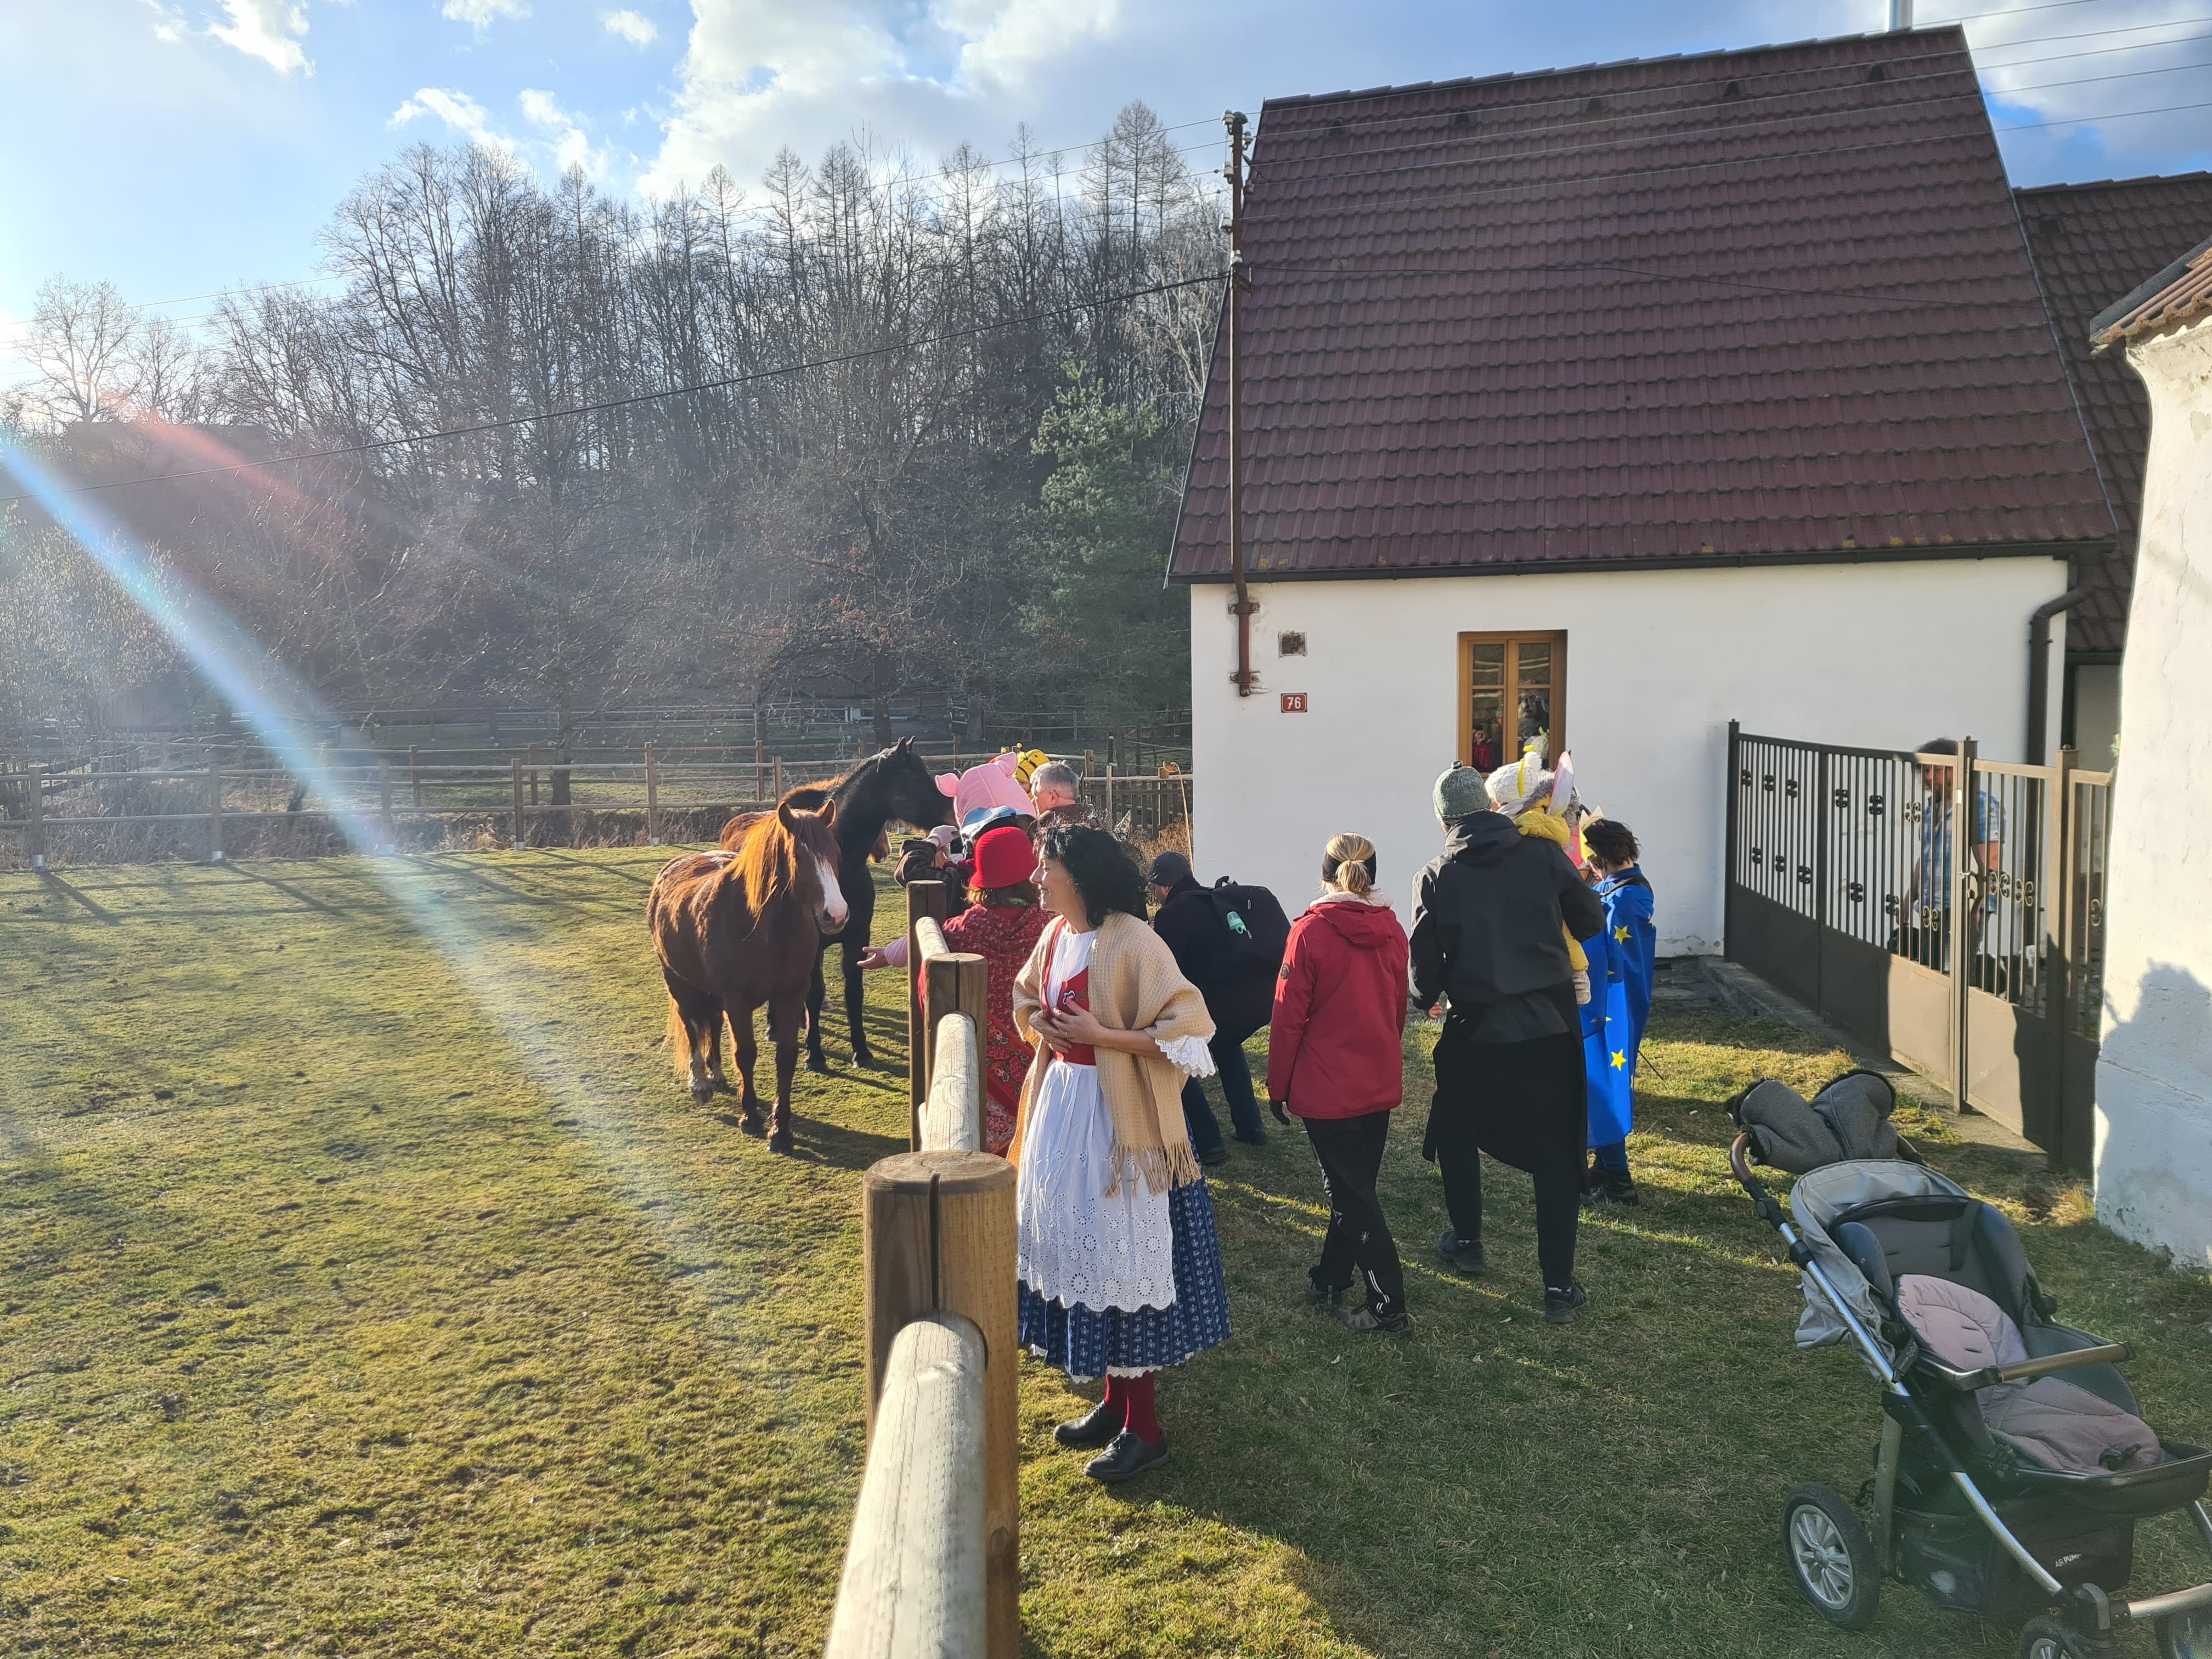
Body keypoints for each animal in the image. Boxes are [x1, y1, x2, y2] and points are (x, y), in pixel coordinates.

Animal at [651, 798, 848, 1154]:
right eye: (799, 857)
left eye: (835, 854)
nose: (836, 915)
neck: (765, 928)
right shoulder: (737, 1000)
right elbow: (746, 1054)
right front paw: (751, 1118)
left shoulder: (791, 994)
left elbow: (786, 1056)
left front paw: (781, 1131)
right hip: (678, 982)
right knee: (691, 1025)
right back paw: (700, 1083)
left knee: (713, 1024)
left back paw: (716, 1074)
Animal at [721, 736, 953, 1071]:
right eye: (914, 779)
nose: (952, 816)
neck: (841, 871)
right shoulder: (814, 946)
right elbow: (815, 995)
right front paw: (814, 1055)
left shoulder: (857, 939)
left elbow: (853, 992)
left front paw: (862, 1051)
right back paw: (774, 1027)